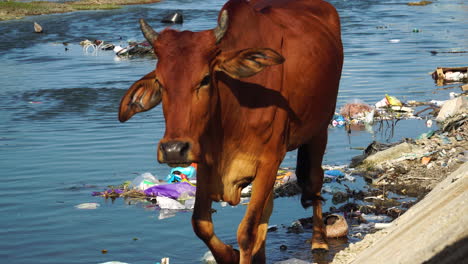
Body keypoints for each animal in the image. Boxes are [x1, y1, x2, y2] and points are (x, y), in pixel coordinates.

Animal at [118, 0, 344, 262]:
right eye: (161, 84)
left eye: (205, 79)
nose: (173, 149)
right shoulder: (206, 161)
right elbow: (201, 224)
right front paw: (229, 255)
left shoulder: (269, 161)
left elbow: (247, 231)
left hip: (319, 129)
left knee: (314, 180)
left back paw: (319, 240)